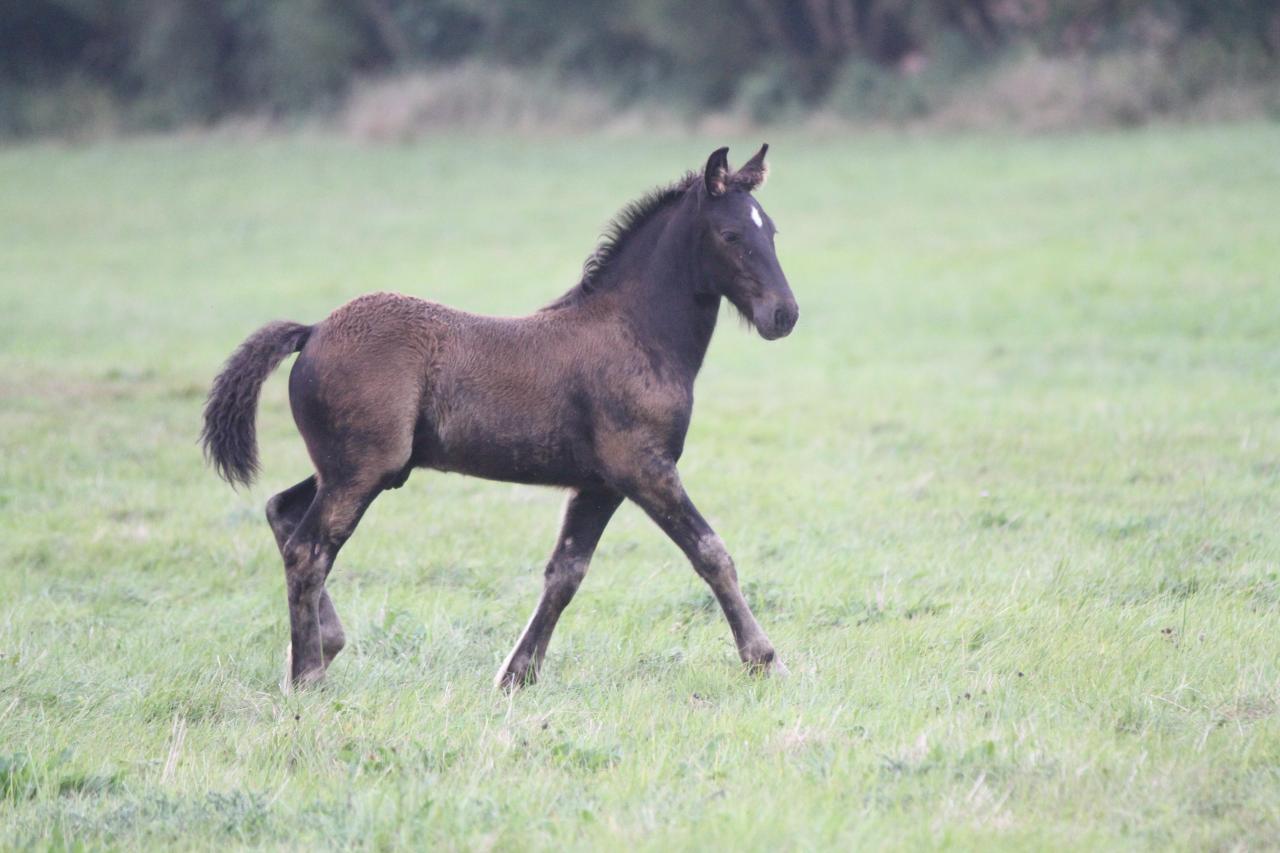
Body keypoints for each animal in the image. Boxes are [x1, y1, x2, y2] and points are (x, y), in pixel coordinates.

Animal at [200, 144, 798, 691]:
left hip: (358, 468)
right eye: (730, 236)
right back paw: (306, 676)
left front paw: (517, 674)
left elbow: (565, 573)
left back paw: (326, 645)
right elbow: (711, 553)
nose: (784, 315)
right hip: (362, 471)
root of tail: (313, 331)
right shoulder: (645, 469)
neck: (634, 332)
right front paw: (766, 660)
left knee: (282, 512)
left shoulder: (601, 484)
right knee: (309, 549)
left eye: (771, 231)